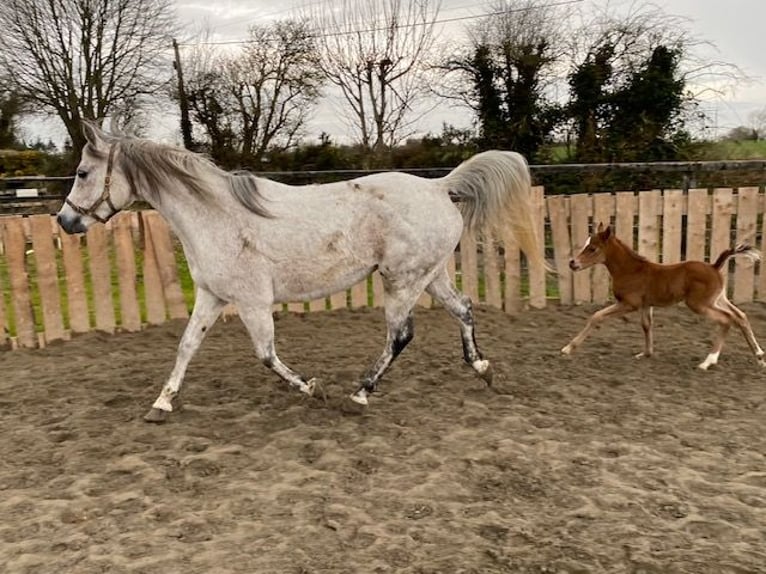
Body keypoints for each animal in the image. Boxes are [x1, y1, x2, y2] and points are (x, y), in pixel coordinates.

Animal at [58, 124, 552, 426]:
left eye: (82, 172)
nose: (65, 221)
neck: (216, 214)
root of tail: (438, 186)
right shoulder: (212, 296)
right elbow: (186, 346)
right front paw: (161, 404)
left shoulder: (252, 303)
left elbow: (266, 355)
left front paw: (313, 389)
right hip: (428, 276)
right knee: (463, 309)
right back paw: (483, 369)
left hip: (402, 281)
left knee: (400, 335)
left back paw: (360, 393)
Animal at [560, 223, 764, 372]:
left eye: (592, 248)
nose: (572, 263)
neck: (630, 270)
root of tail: (714, 267)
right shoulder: (645, 305)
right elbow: (646, 326)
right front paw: (646, 354)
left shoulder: (629, 304)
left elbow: (597, 316)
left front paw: (568, 348)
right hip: (719, 300)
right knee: (740, 316)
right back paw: (760, 357)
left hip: (699, 304)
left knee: (726, 319)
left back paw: (708, 362)